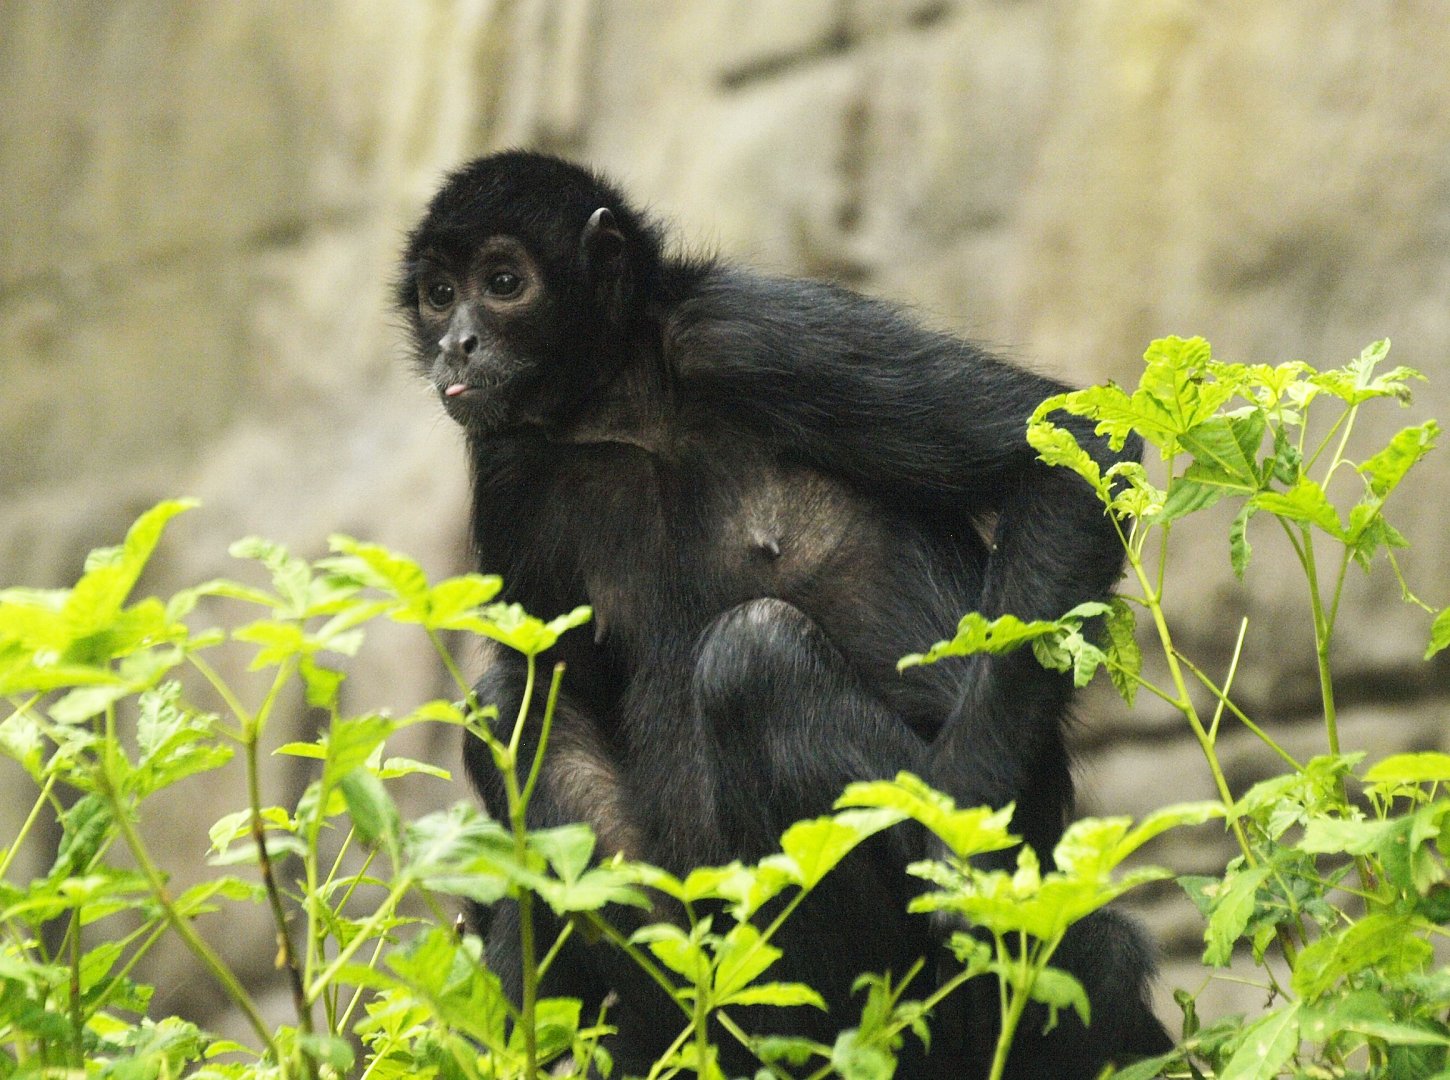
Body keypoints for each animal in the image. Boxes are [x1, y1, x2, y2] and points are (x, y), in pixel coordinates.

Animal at [397, 150, 1169, 1077]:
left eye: (504, 283)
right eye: (439, 294)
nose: (457, 343)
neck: (620, 410)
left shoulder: (744, 332)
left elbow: (1073, 456)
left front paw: (958, 855)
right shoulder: (510, 466)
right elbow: (535, 678)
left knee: (753, 657)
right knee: (512, 703)